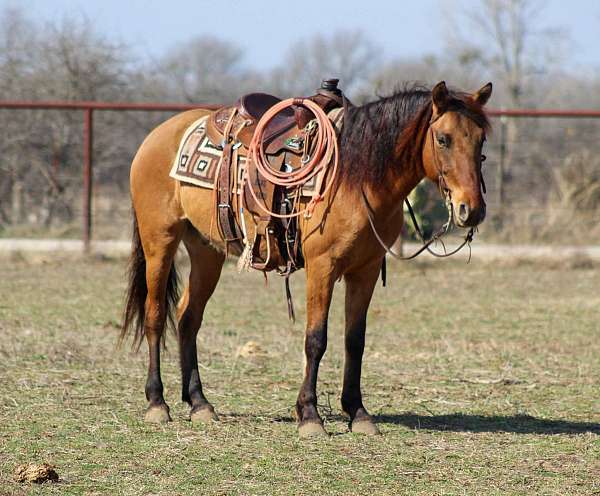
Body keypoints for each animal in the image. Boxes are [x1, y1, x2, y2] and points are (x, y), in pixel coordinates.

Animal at [118, 79, 492, 436]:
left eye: (481, 141)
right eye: (443, 139)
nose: (471, 210)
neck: (357, 175)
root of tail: (157, 135)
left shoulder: (365, 270)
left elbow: (355, 340)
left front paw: (358, 412)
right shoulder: (322, 267)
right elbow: (316, 339)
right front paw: (310, 415)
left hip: (206, 251)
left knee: (187, 318)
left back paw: (199, 404)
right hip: (160, 241)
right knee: (155, 315)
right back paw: (157, 403)